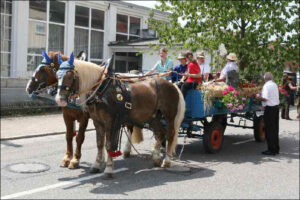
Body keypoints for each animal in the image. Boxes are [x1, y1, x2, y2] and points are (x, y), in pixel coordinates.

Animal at [54, 54, 184, 178]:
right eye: (57, 75)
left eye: (69, 76)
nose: (59, 100)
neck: (101, 89)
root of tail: (172, 85)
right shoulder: (97, 122)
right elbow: (99, 144)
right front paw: (97, 165)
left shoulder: (110, 122)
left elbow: (109, 145)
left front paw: (108, 169)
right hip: (153, 117)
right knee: (160, 133)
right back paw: (156, 157)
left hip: (169, 116)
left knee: (170, 135)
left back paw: (166, 161)